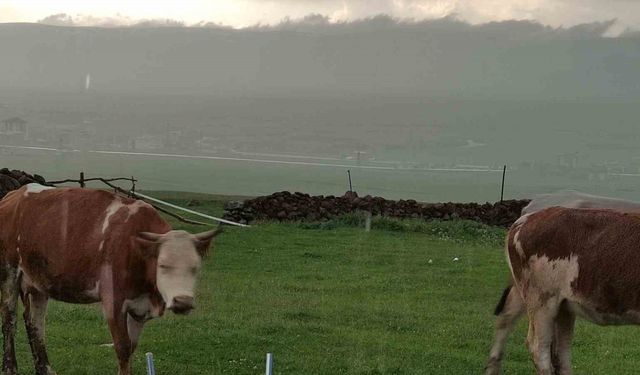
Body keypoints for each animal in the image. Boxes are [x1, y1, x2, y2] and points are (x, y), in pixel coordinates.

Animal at [0, 185, 222, 375]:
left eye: (195, 268)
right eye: (163, 265)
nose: (183, 302)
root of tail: (14, 195)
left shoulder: (140, 309)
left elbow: (131, 348)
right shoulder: (113, 303)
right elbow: (122, 348)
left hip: (39, 283)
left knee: (35, 324)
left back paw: (45, 369)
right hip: (9, 273)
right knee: (10, 320)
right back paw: (10, 368)